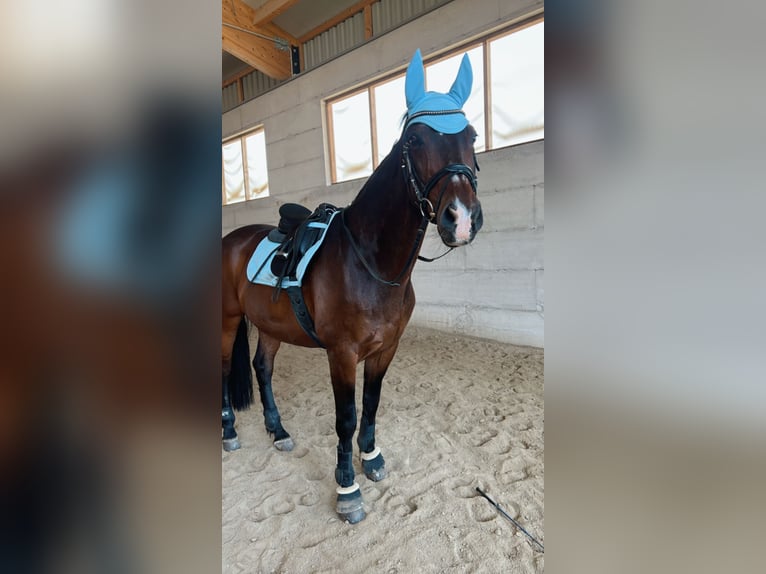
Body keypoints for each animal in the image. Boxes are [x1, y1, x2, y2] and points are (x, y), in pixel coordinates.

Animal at [224, 50, 486, 528]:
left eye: (472, 135)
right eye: (414, 140)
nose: (461, 219)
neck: (370, 263)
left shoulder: (386, 348)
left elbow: (372, 402)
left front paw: (372, 458)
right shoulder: (342, 353)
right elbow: (345, 417)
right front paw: (347, 488)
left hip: (268, 325)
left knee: (262, 369)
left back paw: (278, 430)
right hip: (227, 320)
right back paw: (229, 430)